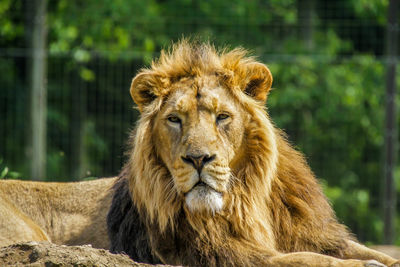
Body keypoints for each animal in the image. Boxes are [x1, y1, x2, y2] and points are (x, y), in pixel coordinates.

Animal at [107, 40, 400, 267]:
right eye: (174, 119)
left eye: (222, 117)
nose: (198, 159)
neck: (245, 200)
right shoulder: (219, 254)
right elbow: (300, 259)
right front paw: (364, 264)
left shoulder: (315, 235)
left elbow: (366, 252)